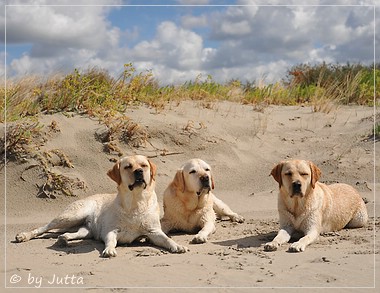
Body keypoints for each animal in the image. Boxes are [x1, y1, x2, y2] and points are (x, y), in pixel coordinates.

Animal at [16, 154, 189, 256]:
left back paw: (64, 239)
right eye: (128, 167)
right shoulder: (110, 231)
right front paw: (109, 250)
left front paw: (177, 246)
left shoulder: (154, 232)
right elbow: (111, 241)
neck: (136, 202)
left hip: (85, 230)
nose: (139, 172)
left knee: (67, 233)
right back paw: (24, 235)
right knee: (43, 228)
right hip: (71, 216)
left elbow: (166, 239)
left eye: (144, 165)